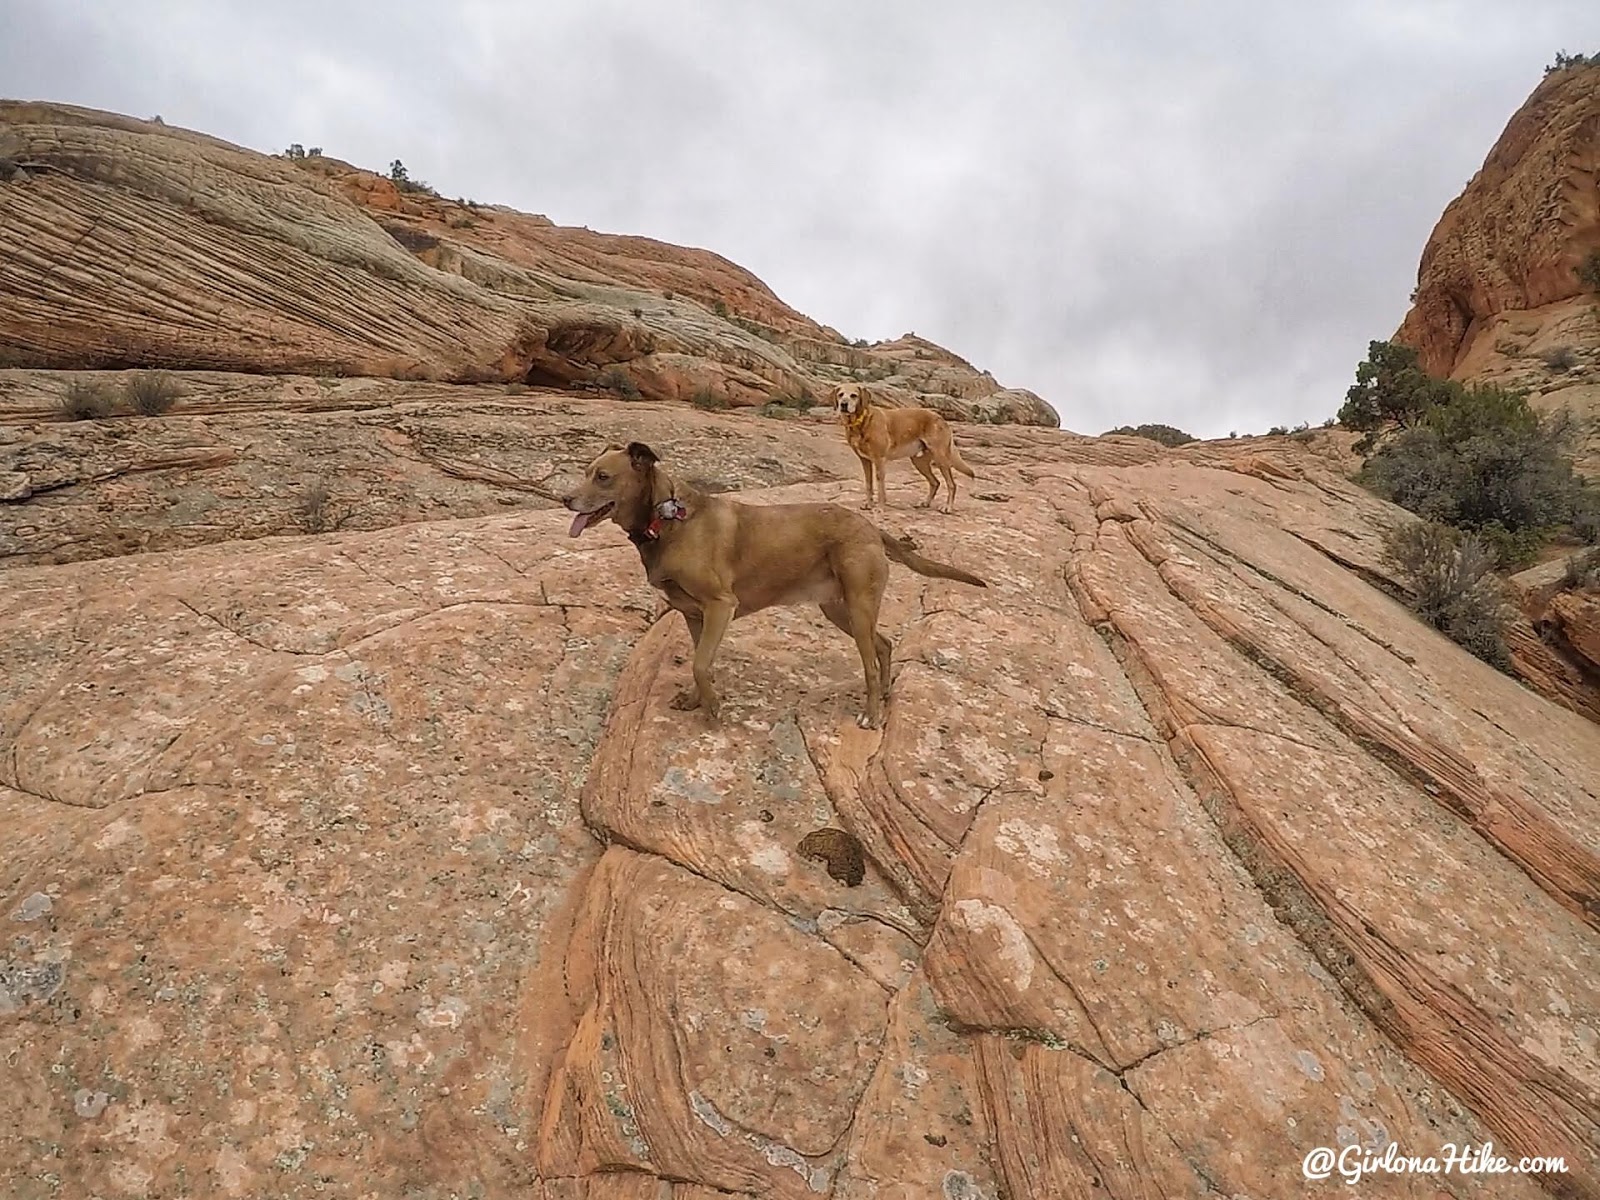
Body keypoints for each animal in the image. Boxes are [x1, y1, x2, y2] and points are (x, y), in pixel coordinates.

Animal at [563, 438, 985, 723]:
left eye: (603, 476)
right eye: (584, 473)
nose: (565, 498)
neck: (664, 518)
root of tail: (871, 526)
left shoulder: (720, 606)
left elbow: (700, 665)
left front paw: (712, 708)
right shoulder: (695, 616)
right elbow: (702, 662)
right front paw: (697, 700)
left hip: (859, 605)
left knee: (868, 659)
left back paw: (871, 714)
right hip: (839, 608)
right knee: (884, 644)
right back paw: (884, 694)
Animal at [838, 385, 972, 512]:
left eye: (854, 395)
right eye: (840, 394)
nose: (843, 404)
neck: (861, 422)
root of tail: (941, 418)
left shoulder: (879, 460)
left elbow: (881, 488)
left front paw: (880, 508)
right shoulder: (865, 460)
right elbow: (868, 484)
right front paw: (869, 504)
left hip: (941, 459)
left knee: (951, 484)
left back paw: (947, 507)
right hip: (919, 462)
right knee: (935, 482)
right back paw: (926, 502)